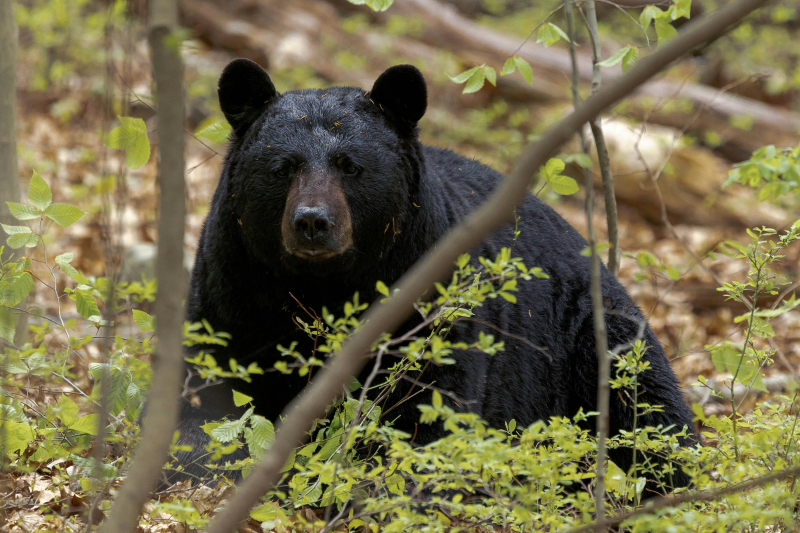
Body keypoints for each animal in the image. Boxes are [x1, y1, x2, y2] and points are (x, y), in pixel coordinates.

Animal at [172, 58, 696, 493]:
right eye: (283, 167)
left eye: (350, 166)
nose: (312, 222)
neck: (323, 287)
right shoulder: (233, 288)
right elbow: (206, 395)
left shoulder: (429, 300)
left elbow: (430, 410)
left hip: (590, 334)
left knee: (649, 408)